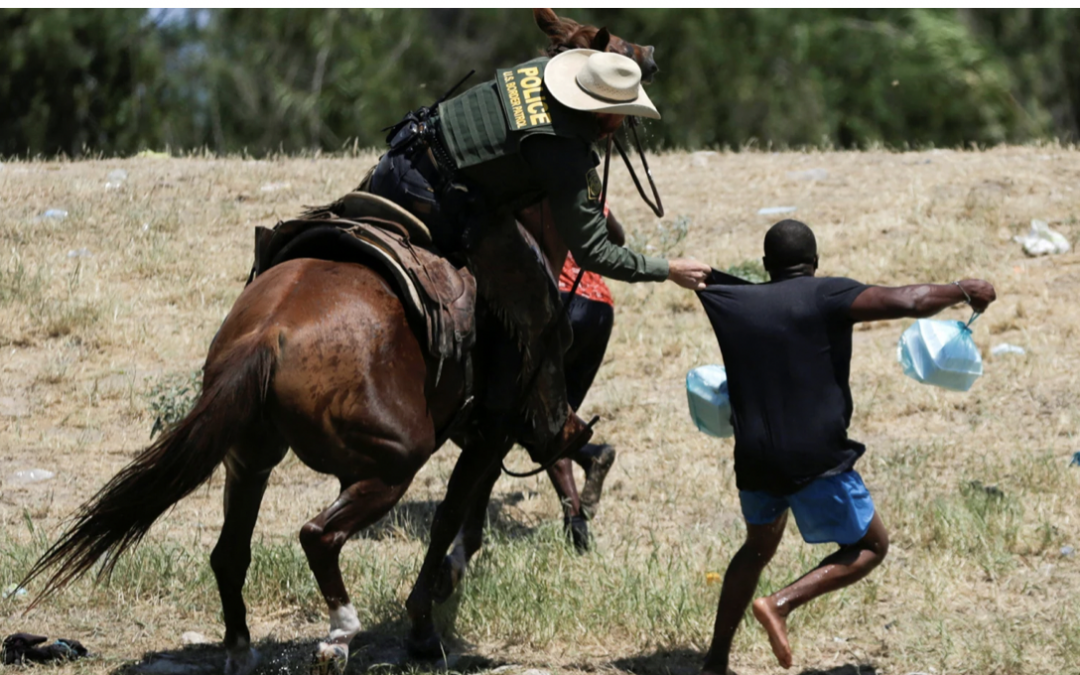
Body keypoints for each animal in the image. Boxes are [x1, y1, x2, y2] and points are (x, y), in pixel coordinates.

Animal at [19, 6, 656, 673]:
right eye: (618, 50)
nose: (652, 56)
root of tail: (267, 336)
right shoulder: (492, 430)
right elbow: (453, 521)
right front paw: (425, 627)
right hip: (392, 461)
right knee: (317, 534)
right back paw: (339, 632)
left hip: (252, 455)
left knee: (230, 553)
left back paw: (244, 648)